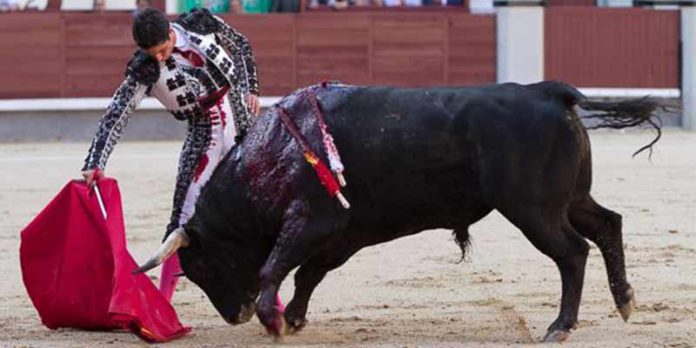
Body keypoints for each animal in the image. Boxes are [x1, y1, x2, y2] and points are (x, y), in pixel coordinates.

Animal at [144, 81, 660, 342]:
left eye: (201, 265)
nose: (237, 315)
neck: (273, 151)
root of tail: (547, 91)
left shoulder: (313, 220)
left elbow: (276, 265)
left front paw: (275, 320)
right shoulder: (343, 233)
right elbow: (308, 273)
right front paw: (292, 318)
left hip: (532, 208)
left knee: (572, 251)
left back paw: (560, 326)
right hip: (567, 199)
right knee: (607, 224)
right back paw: (625, 300)